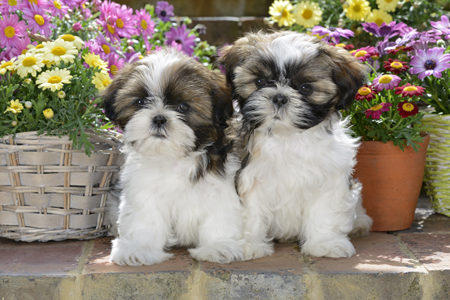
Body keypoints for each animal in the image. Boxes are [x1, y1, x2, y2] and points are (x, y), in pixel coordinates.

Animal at [102, 48, 244, 266]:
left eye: (183, 107)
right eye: (140, 102)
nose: (159, 118)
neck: (174, 157)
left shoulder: (220, 185)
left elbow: (220, 214)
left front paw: (219, 246)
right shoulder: (143, 188)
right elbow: (144, 216)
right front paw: (139, 248)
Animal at [219, 31, 372, 258]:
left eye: (305, 88)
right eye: (260, 81)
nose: (279, 97)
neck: (287, 137)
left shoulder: (330, 177)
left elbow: (325, 211)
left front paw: (325, 244)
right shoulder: (248, 177)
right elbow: (251, 213)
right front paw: (249, 245)